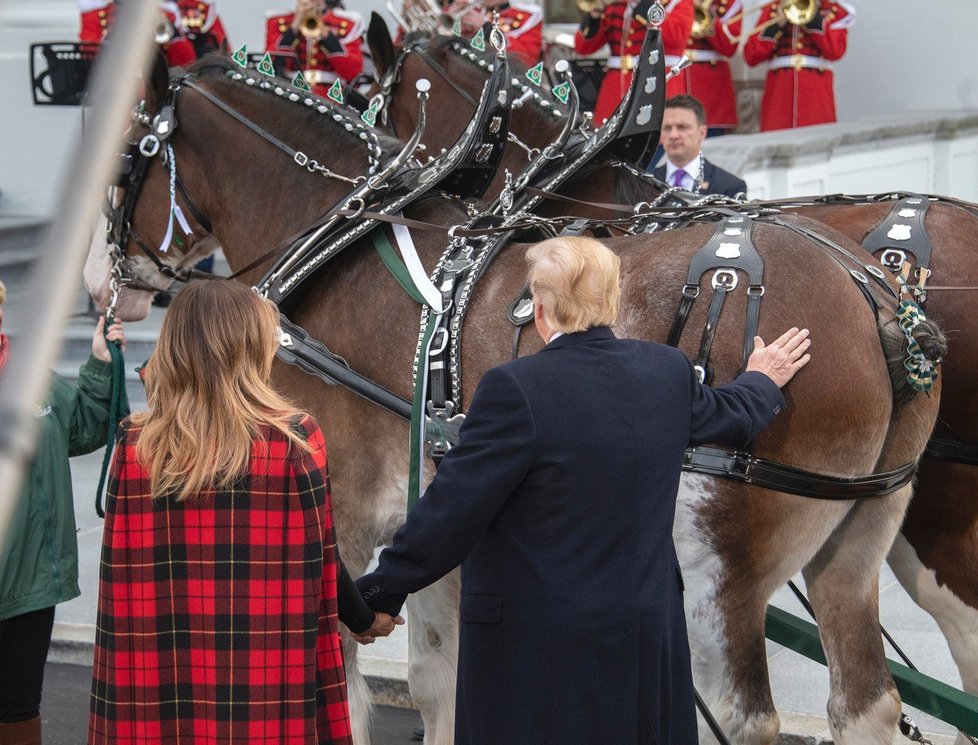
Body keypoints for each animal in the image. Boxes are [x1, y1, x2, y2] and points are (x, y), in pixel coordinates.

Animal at [86, 58, 944, 744]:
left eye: (127, 160)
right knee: (866, 705)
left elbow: (351, 677)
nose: (102, 284)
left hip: (719, 567)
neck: (338, 245)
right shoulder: (438, 499)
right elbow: (438, 676)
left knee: (741, 717)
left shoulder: (348, 506)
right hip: (855, 540)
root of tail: (875, 303)